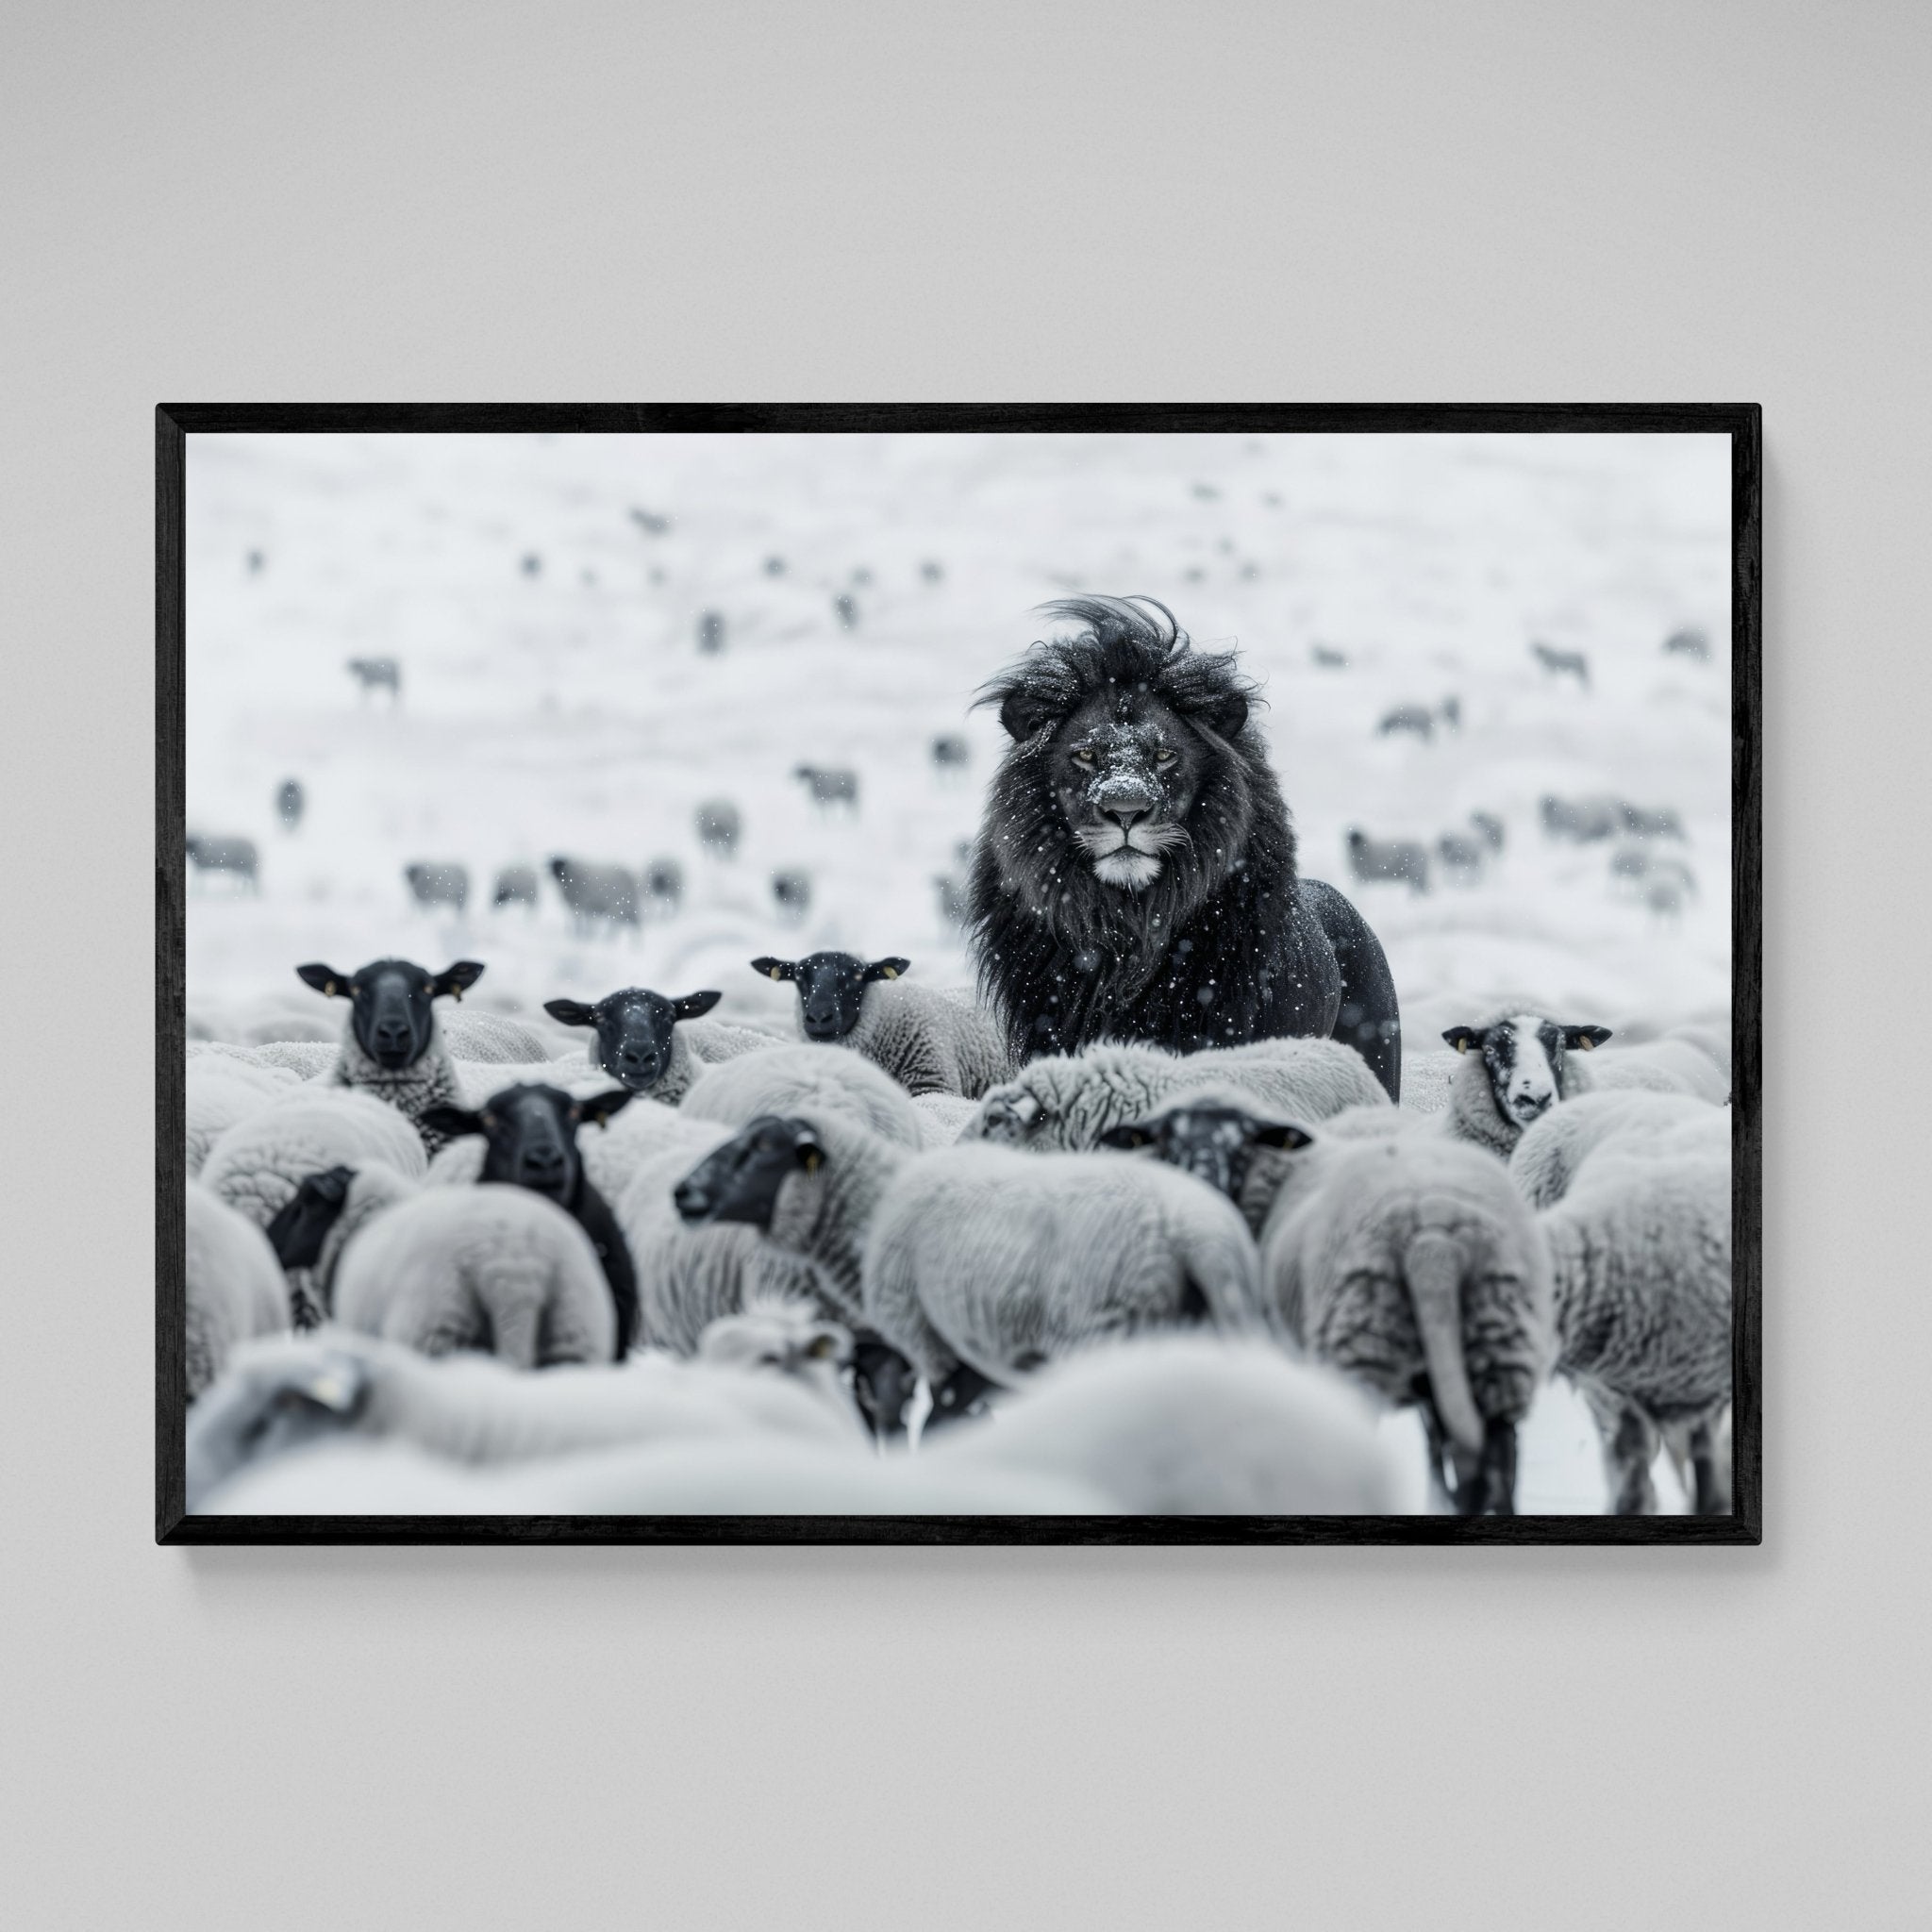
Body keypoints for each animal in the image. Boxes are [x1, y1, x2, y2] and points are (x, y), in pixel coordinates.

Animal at [673, 1113, 1266, 1430]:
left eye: (763, 1148)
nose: (681, 1192)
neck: (874, 1206)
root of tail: (1196, 1231)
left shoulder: (932, 1346)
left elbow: (931, 1426)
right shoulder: (979, 1362)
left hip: (1107, 1334)